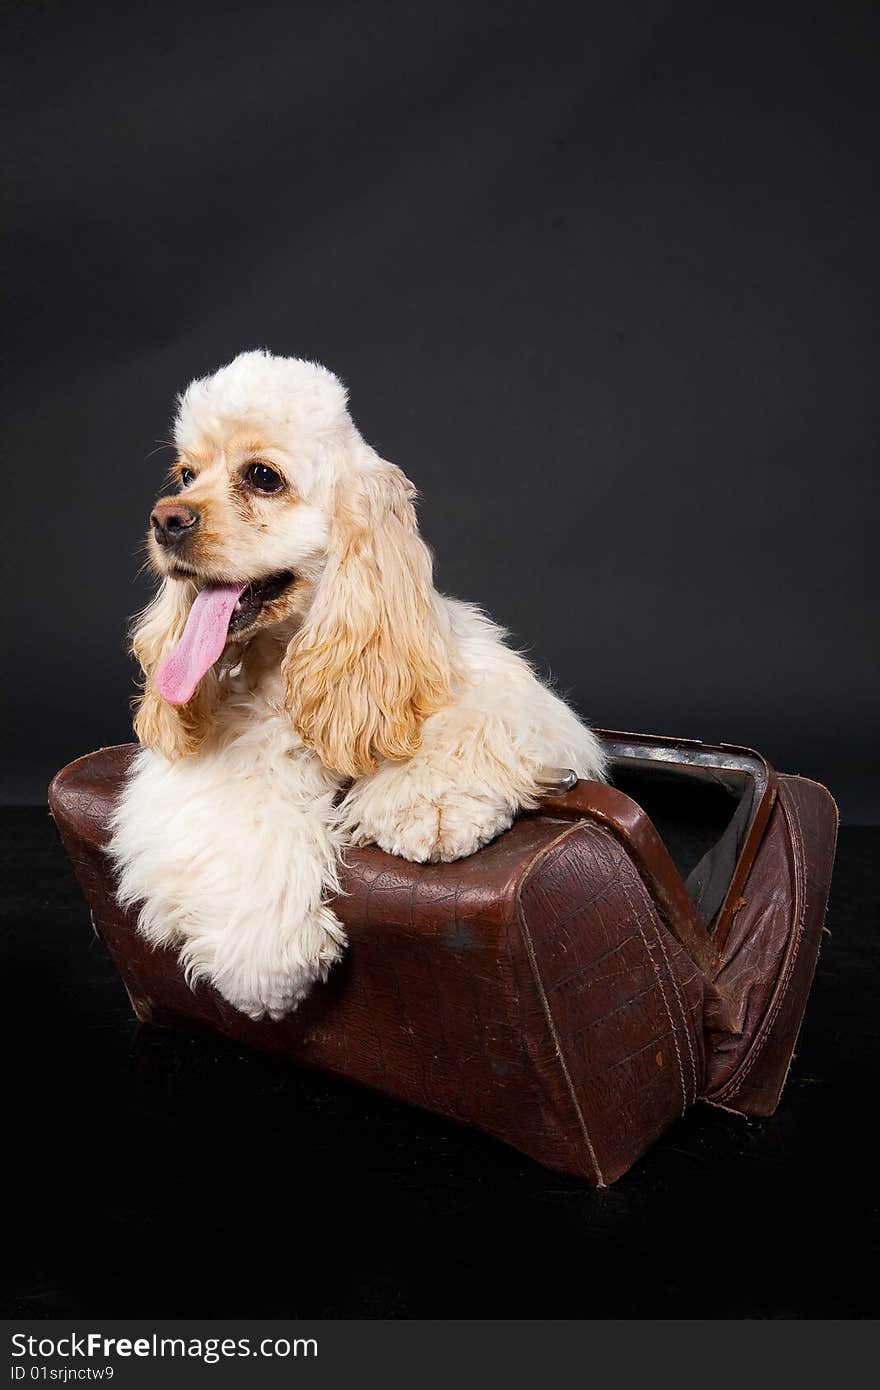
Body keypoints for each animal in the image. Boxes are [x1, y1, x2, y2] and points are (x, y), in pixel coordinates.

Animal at [108, 347, 603, 1023]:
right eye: (185, 475)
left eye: (263, 476)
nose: (164, 519)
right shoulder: (191, 779)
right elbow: (242, 815)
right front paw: (269, 958)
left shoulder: (498, 693)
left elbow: (466, 727)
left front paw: (430, 808)